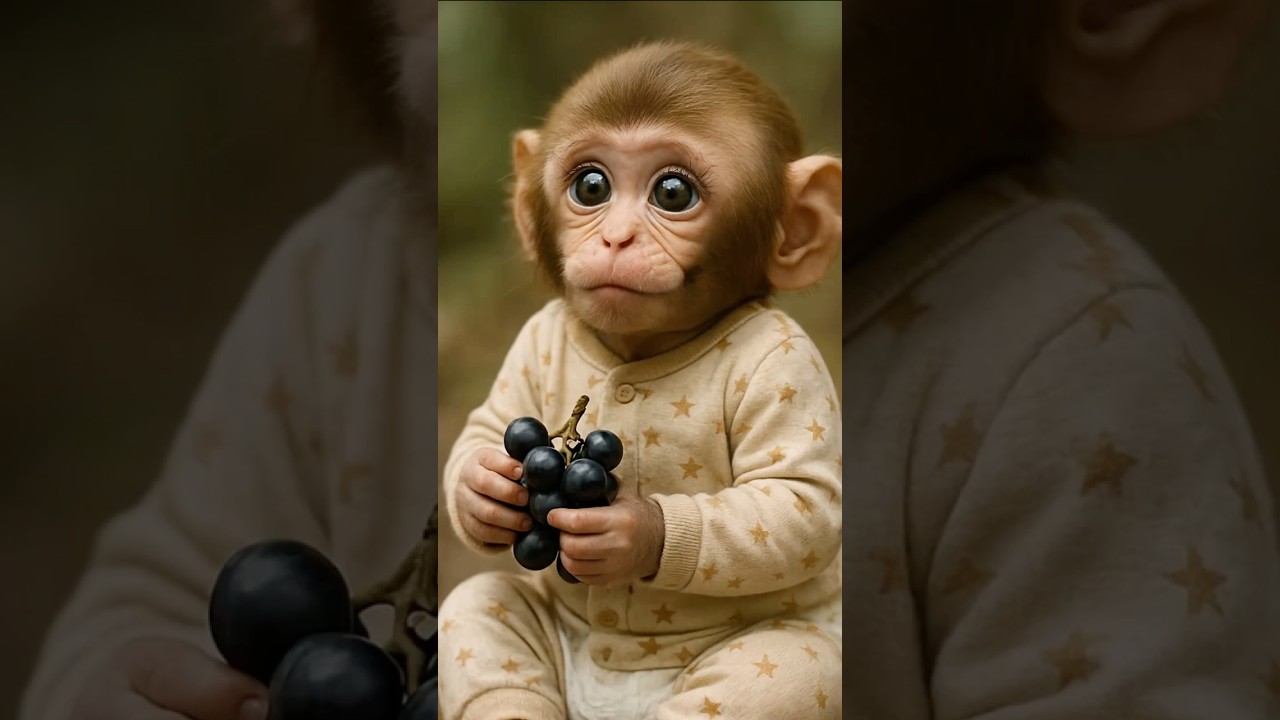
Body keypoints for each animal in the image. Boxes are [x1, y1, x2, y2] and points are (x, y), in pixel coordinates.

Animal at [438, 41, 843, 720]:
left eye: (673, 193)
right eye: (591, 186)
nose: (615, 237)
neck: (648, 348)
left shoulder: (785, 366)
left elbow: (799, 501)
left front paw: (630, 532)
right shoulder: (532, 340)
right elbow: (486, 427)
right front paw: (484, 486)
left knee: (777, 670)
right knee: (480, 612)